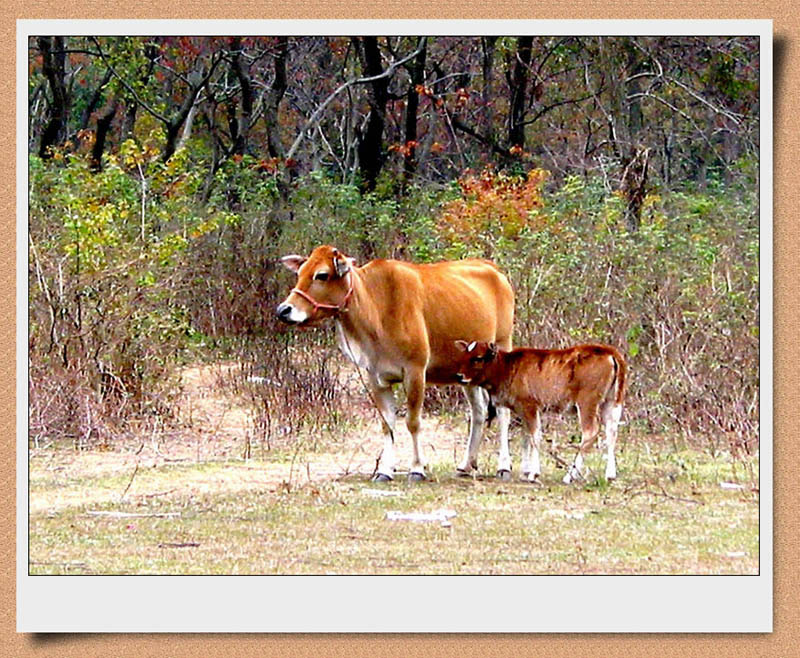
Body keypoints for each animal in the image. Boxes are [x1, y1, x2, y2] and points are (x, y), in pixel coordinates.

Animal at [274, 246, 512, 482]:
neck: (377, 307)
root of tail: (495, 270)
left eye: (321, 275)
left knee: (503, 412)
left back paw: (504, 466)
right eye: (300, 273)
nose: (283, 310)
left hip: (502, 348)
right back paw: (467, 465)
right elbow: (387, 424)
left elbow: (412, 422)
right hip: (468, 374)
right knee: (479, 411)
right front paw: (385, 470)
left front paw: (417, 468)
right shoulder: (376, 377)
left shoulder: (415, 372)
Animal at [454, 338, 628, 482]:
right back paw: (610, 475)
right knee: (611, 432)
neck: (508, 366)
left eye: (478, 358)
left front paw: (533, 473)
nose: (459, 376)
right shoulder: (523, 411)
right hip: (612, 402)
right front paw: (526, 472)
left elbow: (534, 437)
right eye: (464, 355)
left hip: (587, 402)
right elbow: (526, 438)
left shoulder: (529, 406)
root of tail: (610, 352)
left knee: (590, 432)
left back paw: (570, 475)